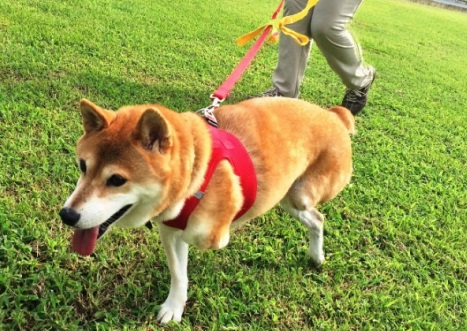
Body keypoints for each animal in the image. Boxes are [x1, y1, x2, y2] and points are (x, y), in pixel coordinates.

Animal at [58, 98, 354, 324]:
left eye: (117, 180)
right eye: (83, 166)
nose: (67, 215)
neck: (195, 172)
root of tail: (334, 115)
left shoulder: (207, 233)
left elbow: (211, 234)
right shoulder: (170, 230)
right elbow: (179, 273)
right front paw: (174, 307)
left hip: (301, 195)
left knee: (318, 216)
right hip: (291, 201)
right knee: (316, 219)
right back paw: (316, 256)